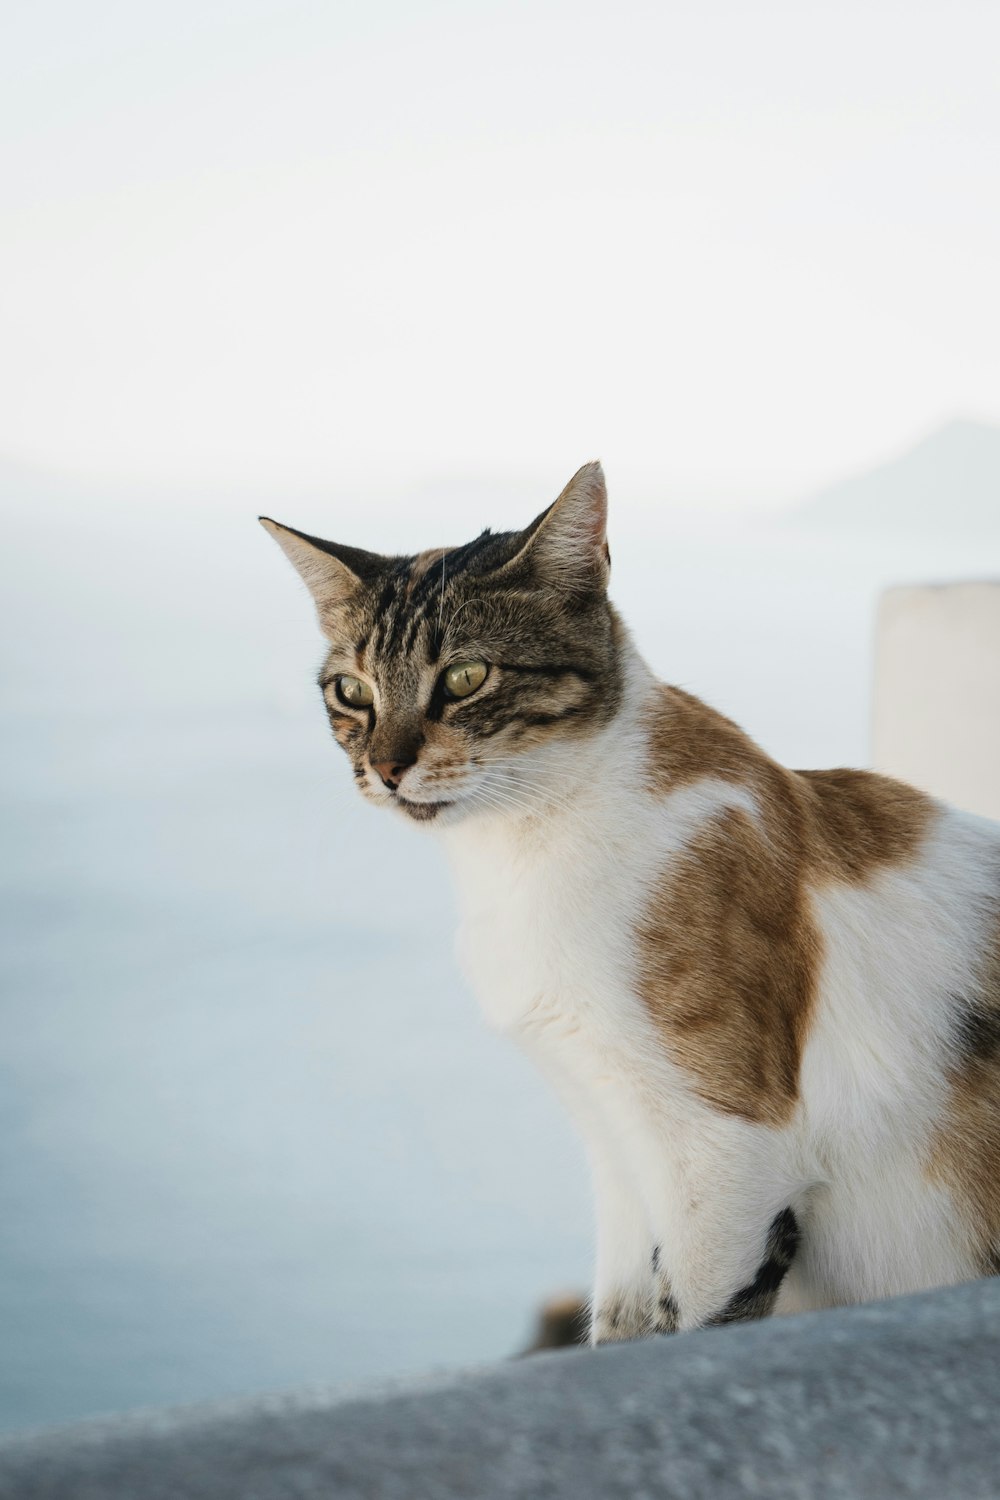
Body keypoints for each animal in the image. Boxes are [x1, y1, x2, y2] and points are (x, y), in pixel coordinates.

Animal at [262, 462, 1000, 1344]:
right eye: (351, 691)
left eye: (466, 678)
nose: (385, 766)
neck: (527, 847)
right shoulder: (612, 1137)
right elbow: (621, 1315)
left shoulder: (722, 1153)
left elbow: (702, 1312)